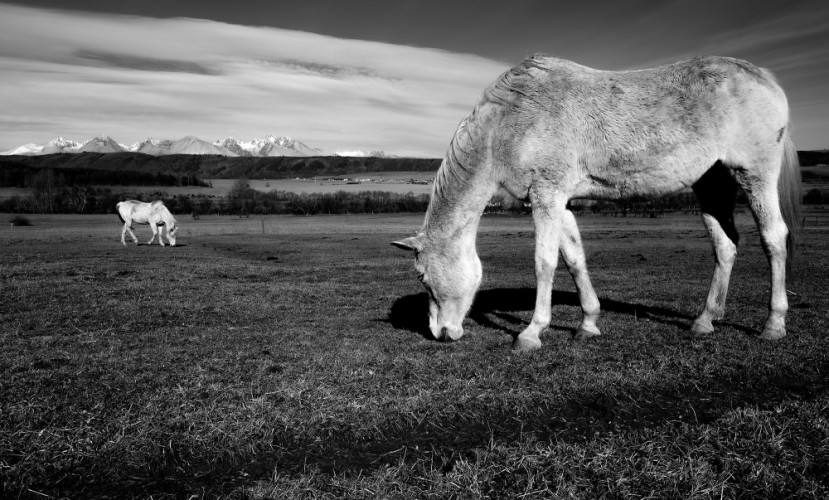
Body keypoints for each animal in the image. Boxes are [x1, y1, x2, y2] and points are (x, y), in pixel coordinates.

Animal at [394, 54, 804, 350]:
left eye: (423, 277)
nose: (440, 333)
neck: (511, 120)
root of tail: (763, 77)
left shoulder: (545, 198)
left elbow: (544, 263)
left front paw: (532, 333)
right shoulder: (559, 202)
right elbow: (575, 259)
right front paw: (588, 323)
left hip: (754, 175)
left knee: (773, 238)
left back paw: (774, 324)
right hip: (712, 185)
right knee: (725, 246)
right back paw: (705, 320)